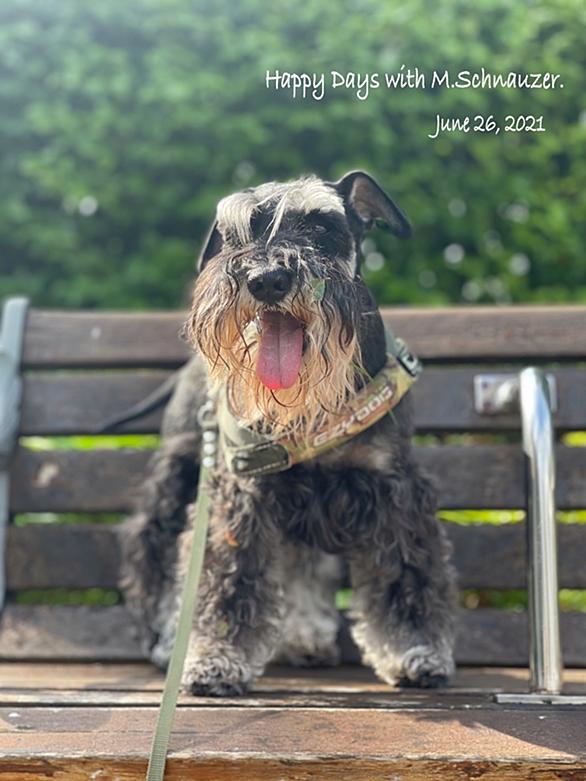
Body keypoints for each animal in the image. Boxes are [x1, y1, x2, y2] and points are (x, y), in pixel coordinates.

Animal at [120, 171, 457, 696]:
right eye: (233, 235)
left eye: (320, 225)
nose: (266, 279)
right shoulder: (240, 491)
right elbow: (228, 576)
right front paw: (216, 659)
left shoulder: (392, 487)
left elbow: (407, 571)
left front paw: (415, 652)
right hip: (177, 477)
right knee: (158, 556)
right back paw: (168, 642)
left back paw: (304, 638)